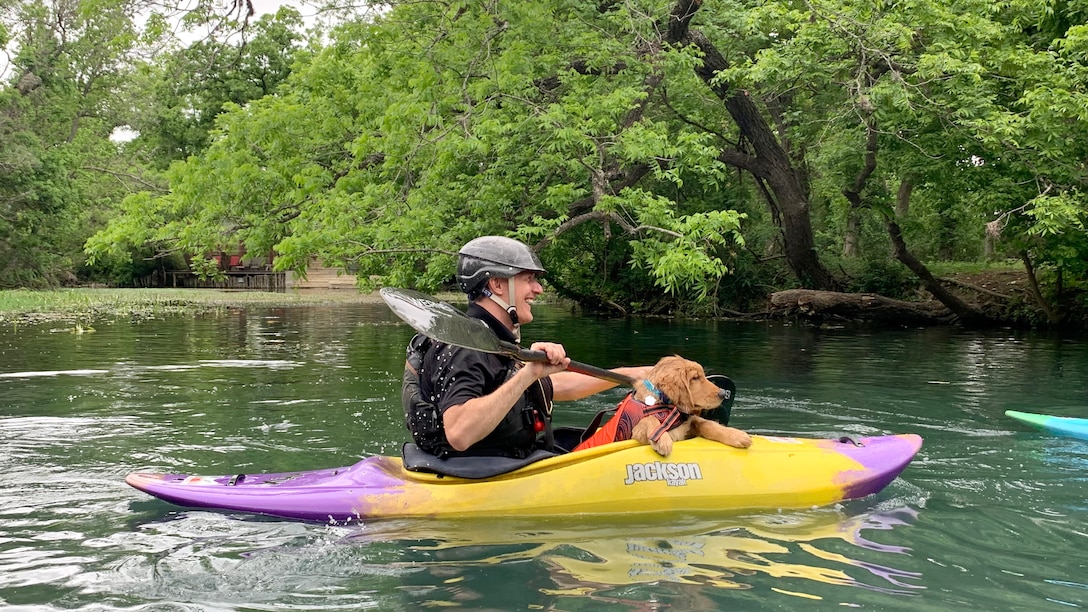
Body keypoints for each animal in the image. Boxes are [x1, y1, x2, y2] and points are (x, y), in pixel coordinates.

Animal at [574, 352, 752, 453]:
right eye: (695, 378)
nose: (723, 393)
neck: (665, 406)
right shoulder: (634, 431)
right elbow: (649, 419)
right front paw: (662, 440)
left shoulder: (687, 424)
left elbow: (706, 423)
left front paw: (737, 435)